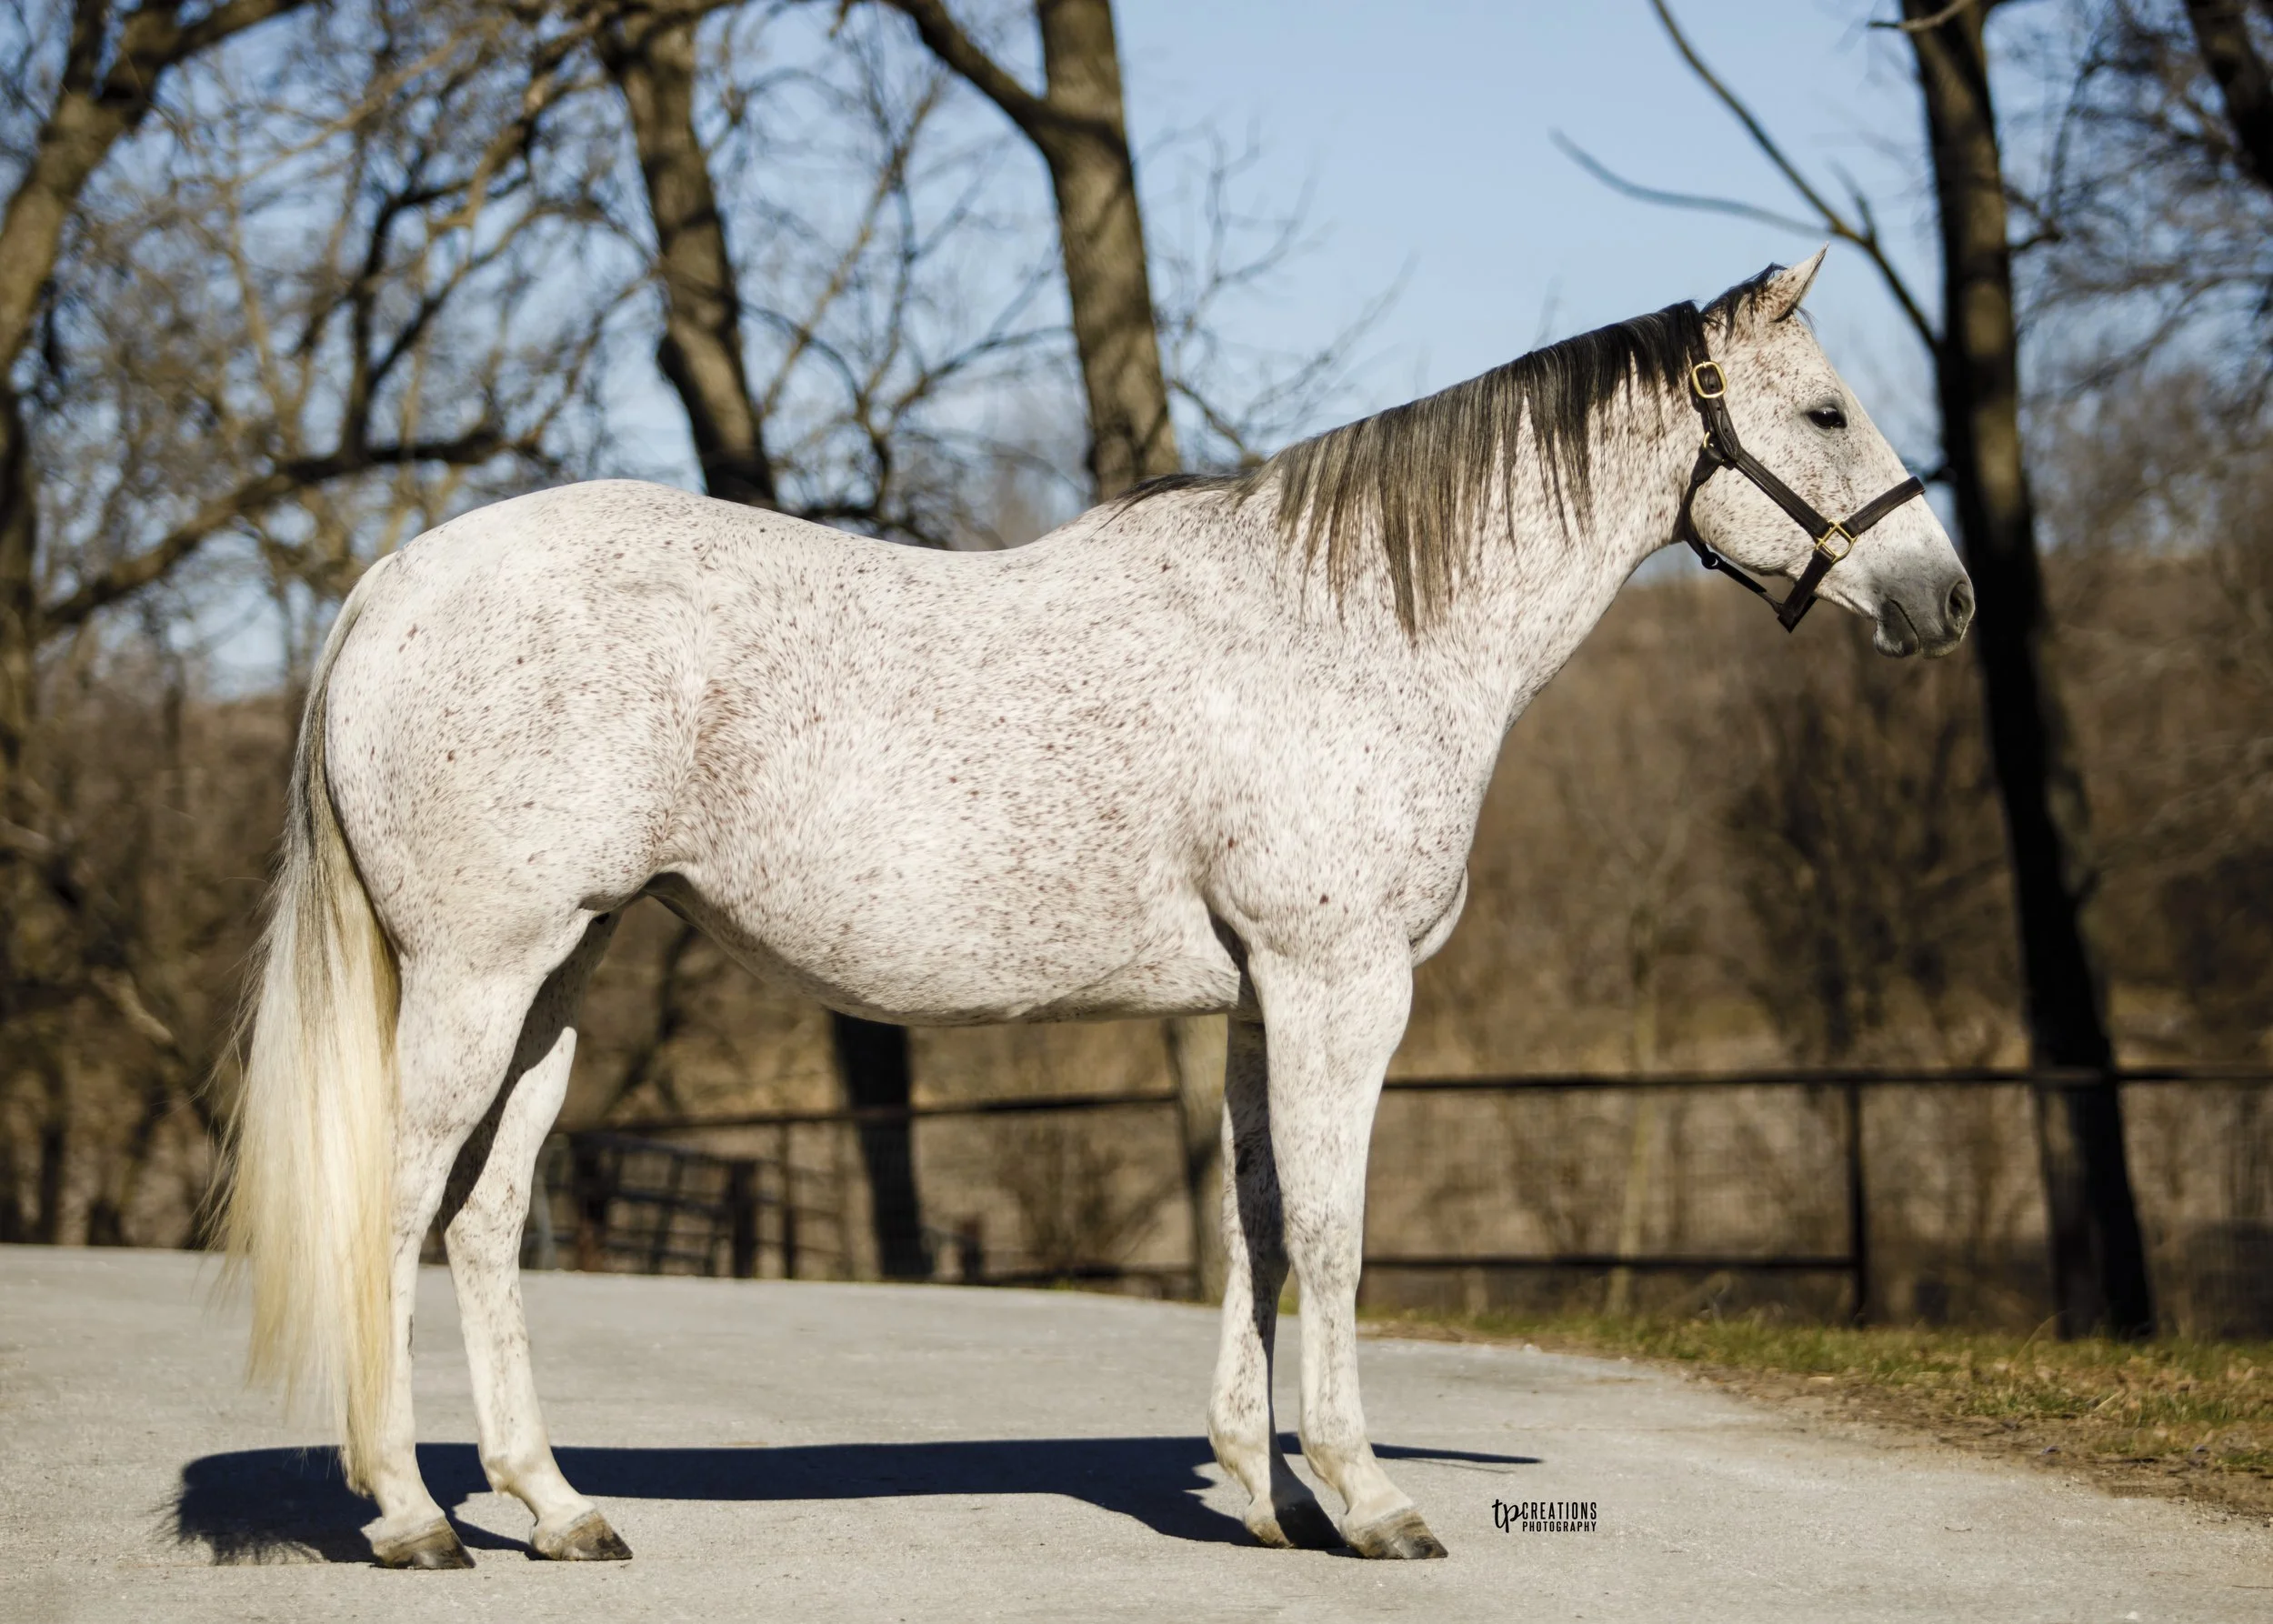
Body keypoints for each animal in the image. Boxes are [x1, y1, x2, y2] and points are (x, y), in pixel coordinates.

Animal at [219, 249, 1971, 1568]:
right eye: (1826, 407)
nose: (1946, 599)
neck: (1354, 626)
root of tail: (392, 585)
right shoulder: (1340, 986)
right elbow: (1329, 1231)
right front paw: (1371, 1499)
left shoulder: (1263, 998)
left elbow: (1251, 1221)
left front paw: (1263, 1496)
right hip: (477, 976)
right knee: (397, 1204)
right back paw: (407, 1517)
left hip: (558, 981)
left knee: (486, 1220)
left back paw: (556, 1506)